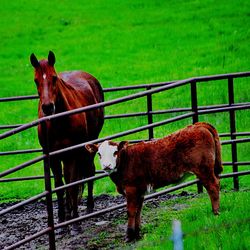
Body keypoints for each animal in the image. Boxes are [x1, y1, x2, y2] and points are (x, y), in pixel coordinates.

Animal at [30, 51, 104, 229]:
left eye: (54, 78)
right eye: (36, 80)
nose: (48, 107)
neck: (59, 122)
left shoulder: (72, 154)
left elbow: (72, 185)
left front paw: (75, 223)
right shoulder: (53, 157)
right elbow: (59, 186)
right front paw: (62, 220)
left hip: (90, 144)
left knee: (89, 171)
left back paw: (89, 207)